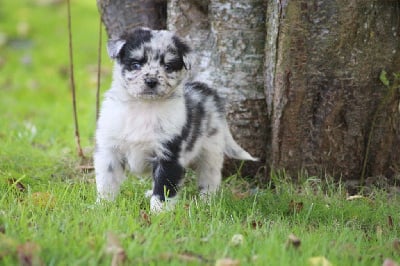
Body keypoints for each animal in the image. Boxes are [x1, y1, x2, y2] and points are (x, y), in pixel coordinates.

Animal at [94, 27, 256, 212]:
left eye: (168, 66)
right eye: (136, 64)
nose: (151, 81)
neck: (144, 106)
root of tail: (207, 90)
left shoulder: (169, 153)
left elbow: (164, 187)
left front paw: (158, 213)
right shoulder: (109, 150)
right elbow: (107, 182)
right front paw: (102, 206)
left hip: (211, 150)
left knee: (210, 177)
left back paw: (206, 201)